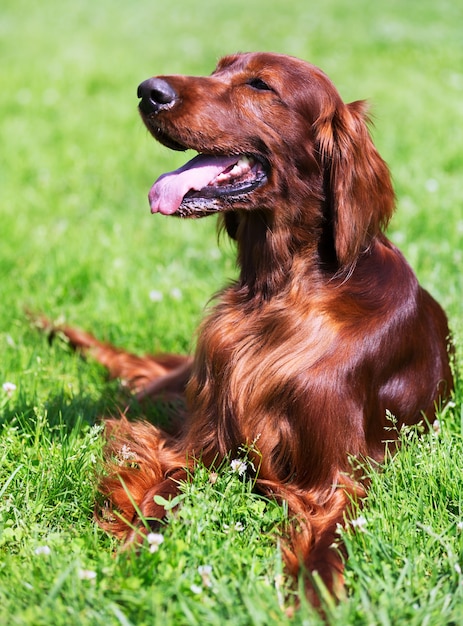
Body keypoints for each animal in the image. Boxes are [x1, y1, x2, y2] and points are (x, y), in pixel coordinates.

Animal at [49, 53, 454, 600]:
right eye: (218, 68)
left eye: (261, 84)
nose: (148, 91)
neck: (279, 291)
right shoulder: (200, 444)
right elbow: (160, 493)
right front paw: (131, 551)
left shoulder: (337, 479)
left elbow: (327, 553)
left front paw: (315, 602)